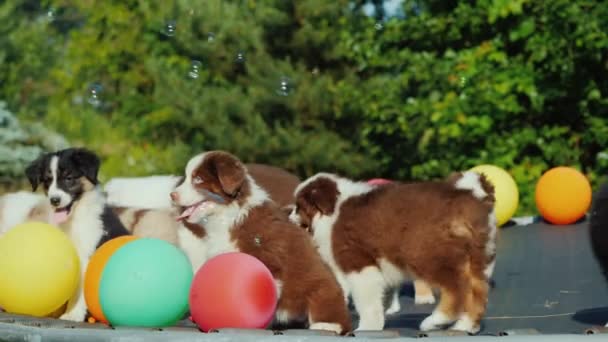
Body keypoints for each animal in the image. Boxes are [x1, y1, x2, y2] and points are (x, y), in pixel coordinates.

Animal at [25, 148, 129, 322]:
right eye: (47, 181)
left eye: (69, 178)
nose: (54, 200)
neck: (73, 219)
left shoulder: (86, 255)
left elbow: (80, 291)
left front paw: (73, 314)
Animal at [170, 151, 352, 336]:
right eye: (187, 177)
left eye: (198, 179)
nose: (172, 195)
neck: (227, 214)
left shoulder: (267, 258)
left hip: (323, 289)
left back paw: (326, 325)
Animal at [288, 172, 494, 332]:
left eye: (299, 207)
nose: (288, 218)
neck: (334, 209)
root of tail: (469, 199)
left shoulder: (358, 263)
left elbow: (366, 300)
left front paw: (366, 328)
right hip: (476, 257)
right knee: (477, 291)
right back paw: (465, 326)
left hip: (427, 253)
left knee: (457, 287)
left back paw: (436, 321)